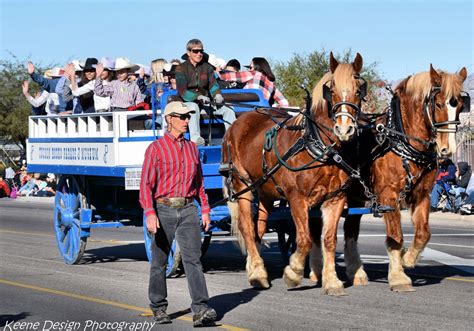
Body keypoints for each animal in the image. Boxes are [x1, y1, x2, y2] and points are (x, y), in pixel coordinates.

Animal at [220, 53, 364, 294]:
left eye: (359, 90)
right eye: (331, 90)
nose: (344, 129)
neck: (318, 146)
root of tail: (236, 123)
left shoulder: (335, 199)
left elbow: (329, 239)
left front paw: (332, 281)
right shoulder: (297, 198)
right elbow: (304, 239)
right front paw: (294, 272)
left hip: (265, 189)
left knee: (258, 226)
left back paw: (256, 267)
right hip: (242, 185)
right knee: (247, 227)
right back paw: (257, 273)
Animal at [310, 64, 468, 294]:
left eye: (460, 106)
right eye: (438, 104)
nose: (448, 149)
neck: (401, 142)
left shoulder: (422, 195)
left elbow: (423, 233)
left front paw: (407, 260)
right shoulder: (388, 195)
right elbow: (396, 236)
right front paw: (398, 277)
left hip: (356, 196)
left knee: (350, 230)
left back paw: (356, 272)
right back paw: (315, 271)